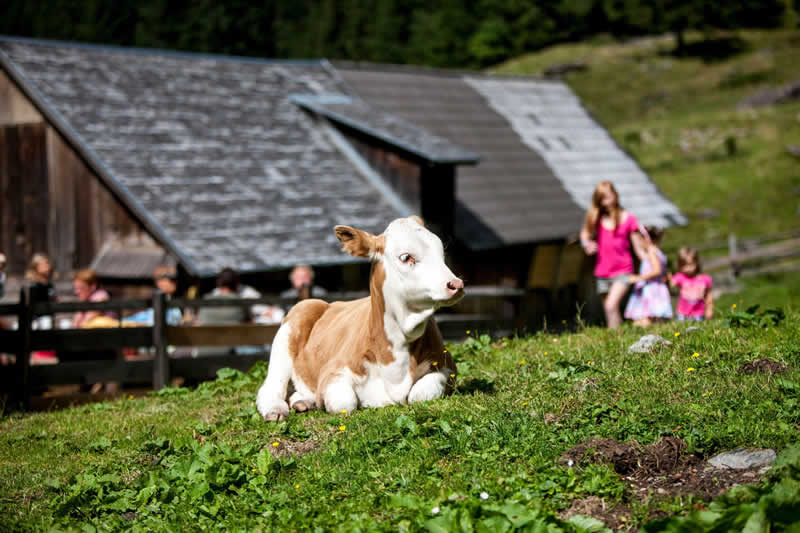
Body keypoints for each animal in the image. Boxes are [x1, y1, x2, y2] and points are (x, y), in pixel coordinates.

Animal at [256, 216, 466, 420]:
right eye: (406, 257)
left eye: (441, 252)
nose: (456, 284)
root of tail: (328, 303)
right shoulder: (333, 372)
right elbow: (344, 403)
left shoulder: (447, 366)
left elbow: (420, 394)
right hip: (291, 328)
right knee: (271, 387)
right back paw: (276, 410)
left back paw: (303, 402)